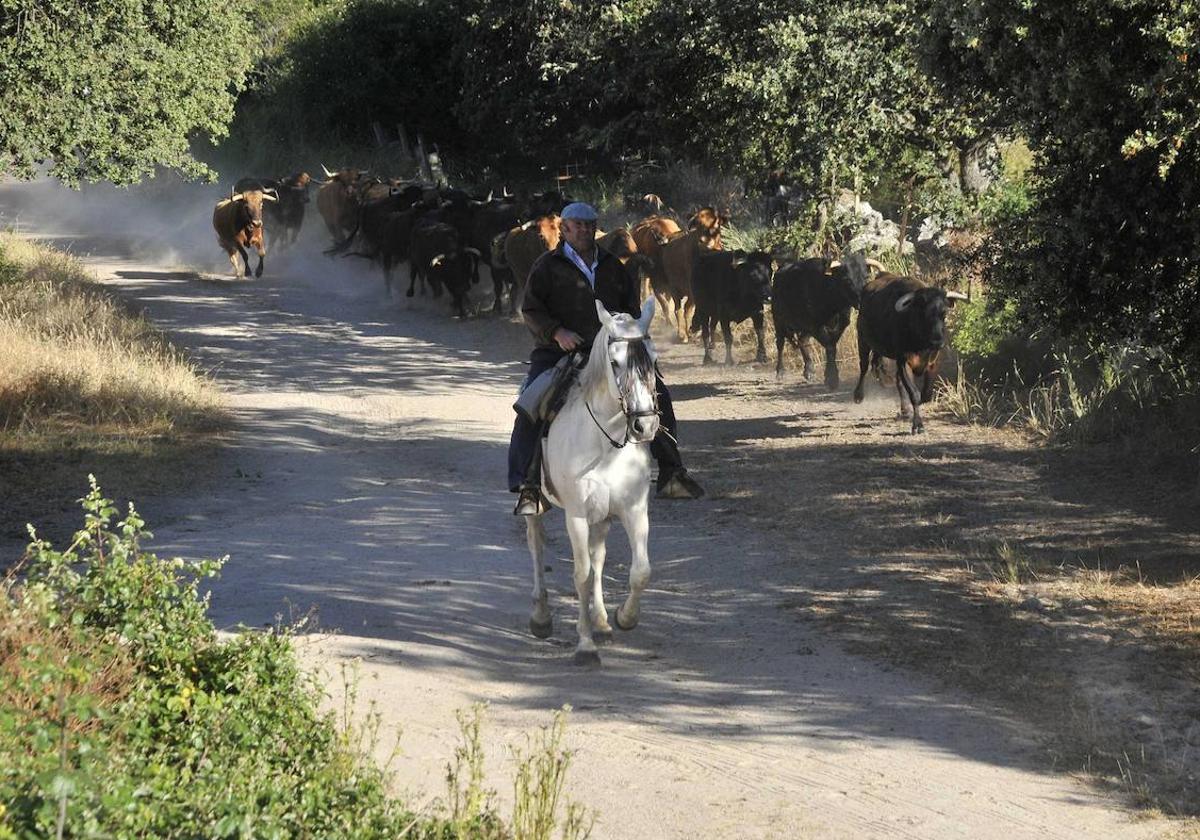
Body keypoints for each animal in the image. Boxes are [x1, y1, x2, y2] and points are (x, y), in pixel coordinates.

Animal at [530, 298, 662, 667]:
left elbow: (640, 571)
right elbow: (582, 575)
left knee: (599, 556)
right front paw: (585, 645)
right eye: (615, 362)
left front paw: (623, 618)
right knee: (536, 544)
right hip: (536, 505)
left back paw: (602, 622)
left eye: (653, 359)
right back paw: (541, 616)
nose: (645, 426)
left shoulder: (634, 510)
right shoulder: (575, 515)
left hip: (601, 516)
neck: (606, 443)